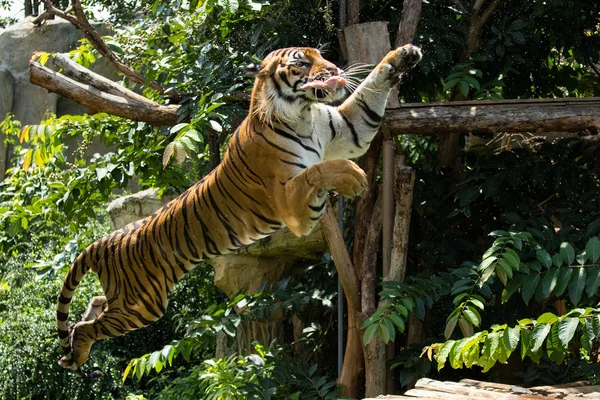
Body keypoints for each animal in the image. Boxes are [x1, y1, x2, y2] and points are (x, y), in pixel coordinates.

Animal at [57, 43, 422, 372]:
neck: (304, 114)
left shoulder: (348, 129)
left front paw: (403, 55)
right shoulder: (291, 205)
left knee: (92, 305)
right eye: (302, 63)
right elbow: (317, 170)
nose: (333, 70)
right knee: (87, 327)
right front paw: (352, 176)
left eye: (321, 56)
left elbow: (369, 91)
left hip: (127, 300)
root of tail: (104, 241)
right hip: (141, 304)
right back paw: (76, 354)